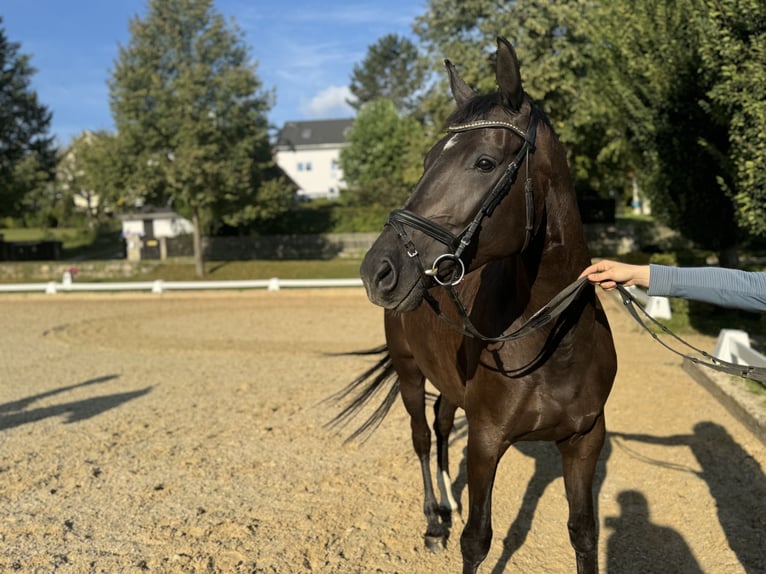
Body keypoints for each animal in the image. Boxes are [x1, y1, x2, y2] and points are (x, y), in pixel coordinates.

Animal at [342, 38, 616, 572]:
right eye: (427, 159)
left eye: (485, 163)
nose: (378, 270)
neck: (554, 340)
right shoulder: (488, 440)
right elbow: (478, 539)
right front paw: (452, 528)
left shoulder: (584, 441)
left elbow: (584, 534)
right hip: (409, 373)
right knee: (423, 437)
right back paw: (434, 521)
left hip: (449, 383)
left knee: (443, 424)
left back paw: (447, 505)